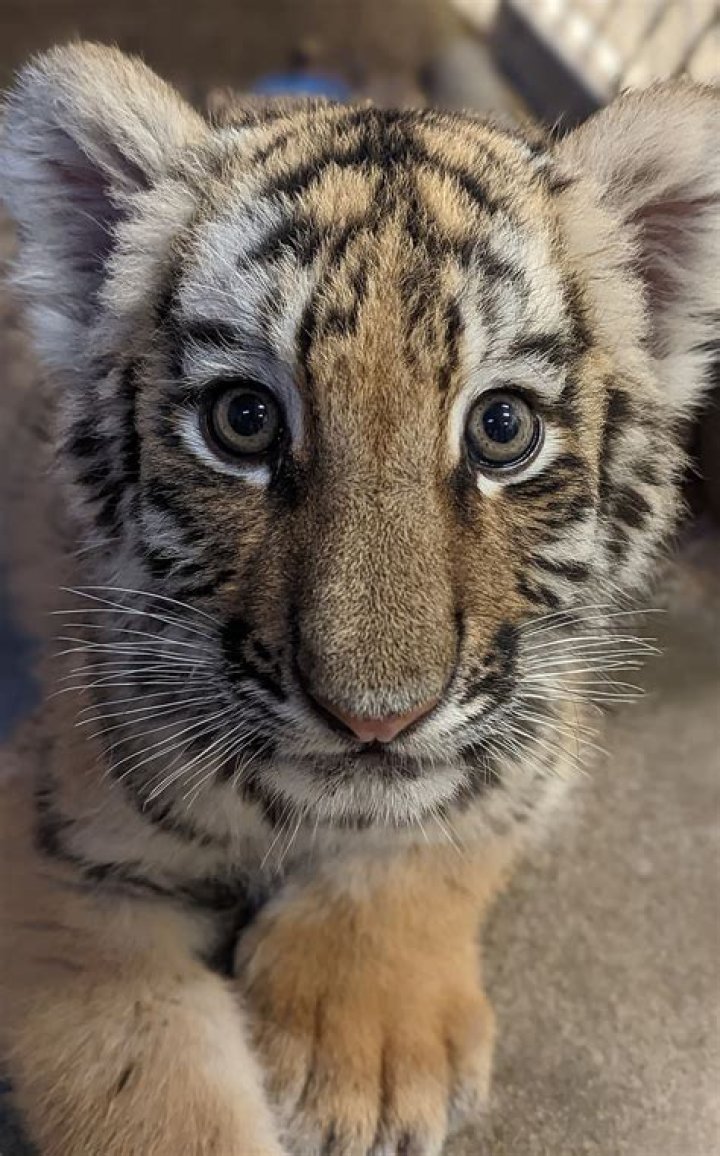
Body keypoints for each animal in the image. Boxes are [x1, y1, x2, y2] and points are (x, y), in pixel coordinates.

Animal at [0, 41, 717, 1156]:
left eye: (502, 429)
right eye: (243, 420)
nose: (375, 719)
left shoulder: (539, 732)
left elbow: (447, 825)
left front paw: (364, 1059)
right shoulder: (56, 860)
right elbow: (151, 1090)